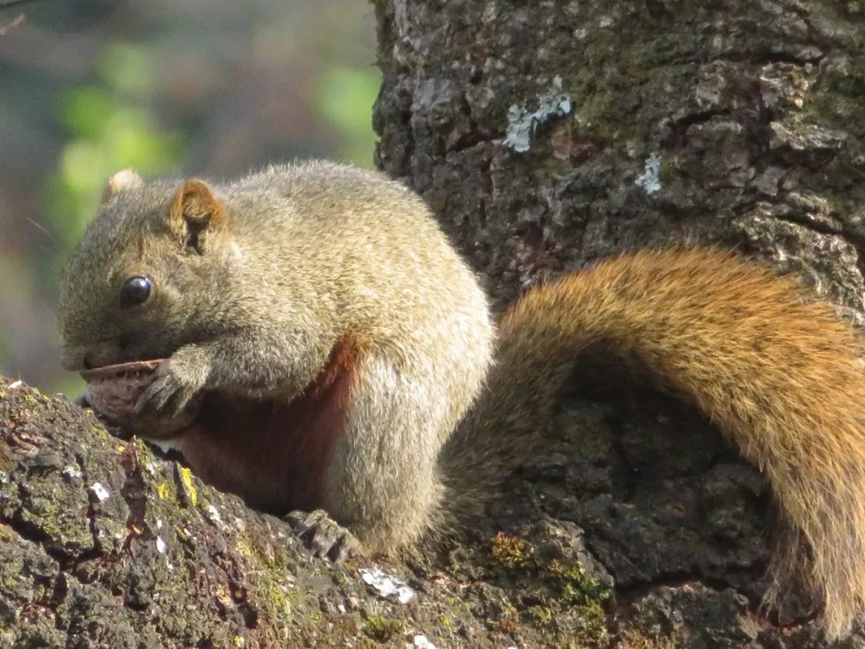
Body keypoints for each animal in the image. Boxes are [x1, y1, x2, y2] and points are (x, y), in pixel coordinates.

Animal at [57, 162, 864, 636]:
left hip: (383, 411)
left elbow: (277, 360)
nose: (74, 362)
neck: (241, 255)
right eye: (73, 257)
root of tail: (427, 486)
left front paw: (186, 369)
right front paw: (129, 403)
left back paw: (344, 530)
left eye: (137, 289)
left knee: (378, 517)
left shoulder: (293, 308)